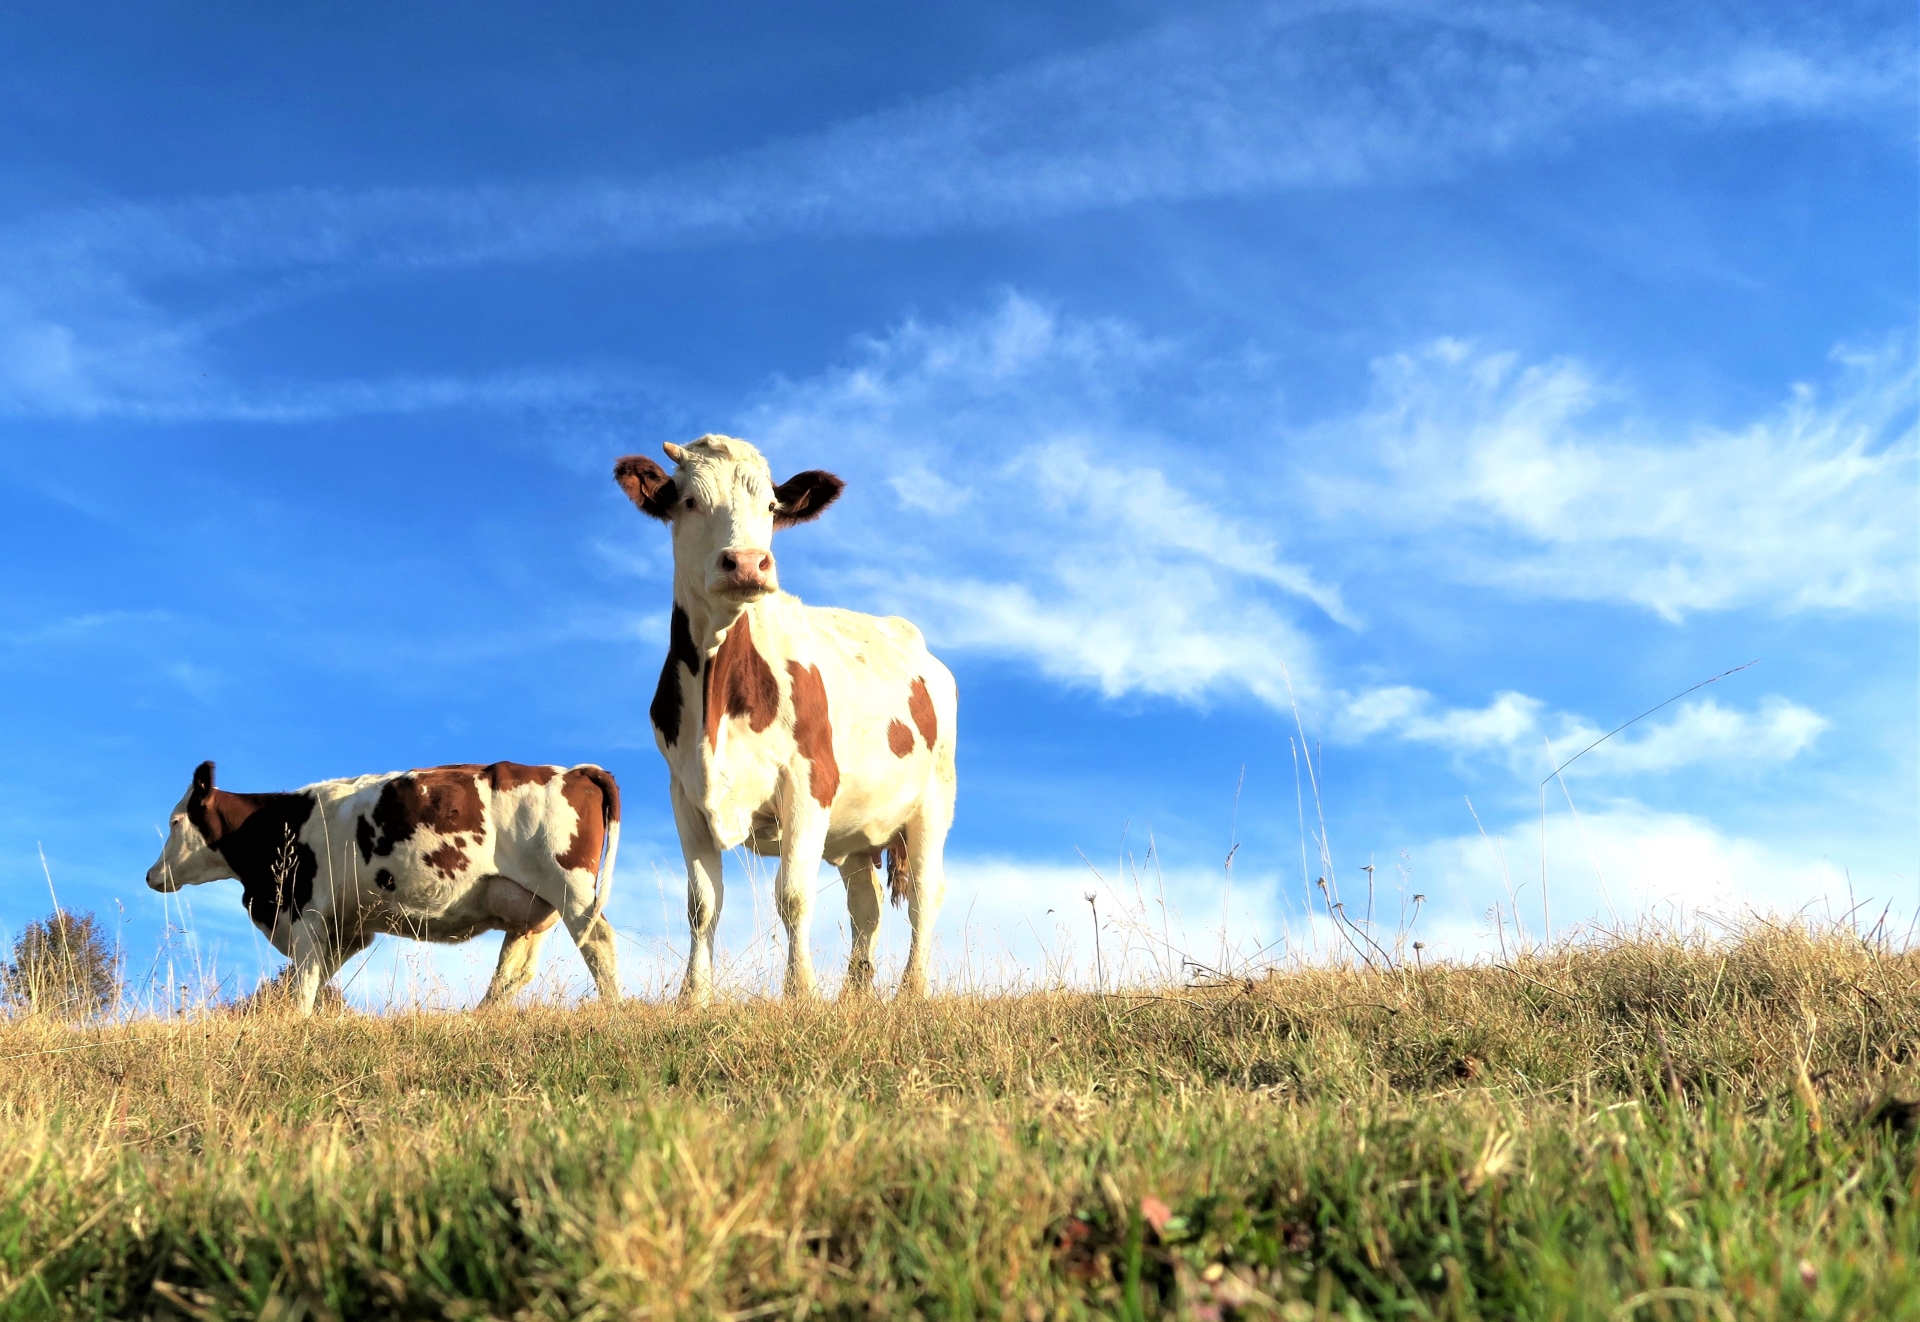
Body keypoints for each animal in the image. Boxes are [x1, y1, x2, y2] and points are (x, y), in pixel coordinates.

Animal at [145, 752, 622, 1013]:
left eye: (174, 821)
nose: (151, 875)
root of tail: (575, 771)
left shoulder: (304, 912)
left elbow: (302, 984)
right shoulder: (346, 928)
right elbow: (312, 978)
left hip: (571, 887)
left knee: (598, 940)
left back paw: (613, 1009)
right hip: (531, 905)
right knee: (515, 969)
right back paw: (477, 1017)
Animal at [614, 433, 960, 997]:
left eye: (773, 508)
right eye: (688, 500)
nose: (747, 563)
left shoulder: (808, 781)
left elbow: (793, 895)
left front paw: (801, 992)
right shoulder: (684, 793)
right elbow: (702, 905)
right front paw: (694, 996)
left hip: (933, 800)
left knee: (925, 896)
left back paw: (912, 990)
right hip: (856, 832)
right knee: (865, 907)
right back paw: (855, 995)